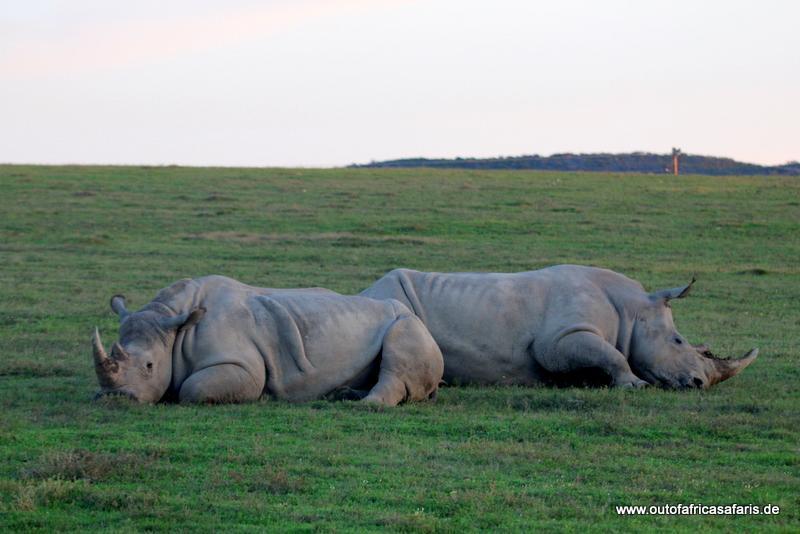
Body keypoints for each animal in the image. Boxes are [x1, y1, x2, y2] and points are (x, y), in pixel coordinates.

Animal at [95, 276, 444, 406]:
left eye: (149, 366)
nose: (114, 398)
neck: (174, 322)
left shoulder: (242, 366)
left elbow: (193, 389)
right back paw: (343, 394)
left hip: (408, 323)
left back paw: (363, 405)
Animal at [360, 266, 760, 392]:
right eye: (678, 341)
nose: (699, 383)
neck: (632, 311)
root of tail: (365, 292)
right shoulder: (560, 339)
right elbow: (612, 355)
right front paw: (635, 385)